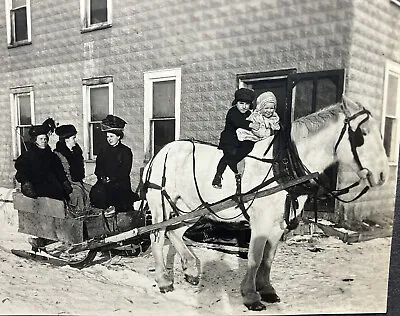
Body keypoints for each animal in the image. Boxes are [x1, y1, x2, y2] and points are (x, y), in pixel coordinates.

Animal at [142, 96, 390, 312]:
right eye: (362, 134)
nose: (382, 175)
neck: (284, 165)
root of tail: (161, 153)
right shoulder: (260, 223)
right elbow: (255, 258)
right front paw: (251, 296)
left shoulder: (279, 224)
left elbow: (268, 258)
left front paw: (267, 290)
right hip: (160, 206)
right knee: (157, 236)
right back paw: (163, 280)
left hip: (191, 208)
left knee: (174, 232)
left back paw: (191, 269)